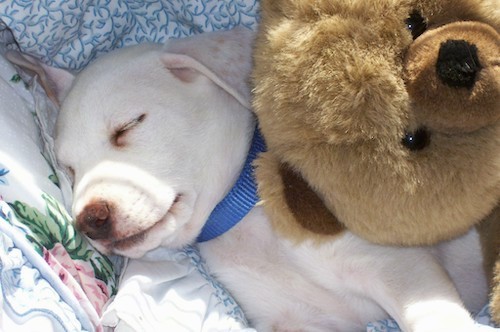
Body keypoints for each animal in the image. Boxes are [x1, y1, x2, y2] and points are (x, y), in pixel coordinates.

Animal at [11, 28, 496, 332]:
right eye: (69, 169)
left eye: (129, 126)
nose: (90, 220)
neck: (247, 217)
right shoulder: (300, 320)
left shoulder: (400, 269)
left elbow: (437, 319)